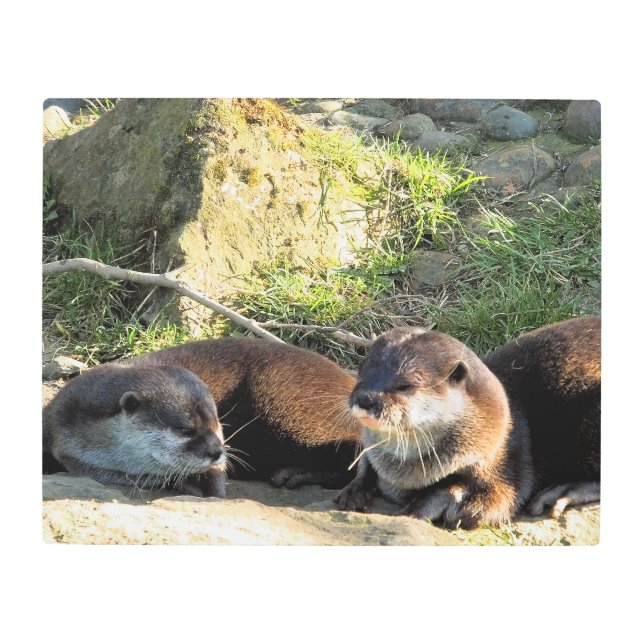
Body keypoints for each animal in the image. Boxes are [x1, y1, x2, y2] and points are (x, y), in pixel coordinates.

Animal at [335, 317, 600, 529]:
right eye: (361, 372)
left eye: (405, 384)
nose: (365, 399)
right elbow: (365, 465)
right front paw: (354, 489)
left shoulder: (506, 462)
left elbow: (494, 503)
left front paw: (421, 508)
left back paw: (563, 492)